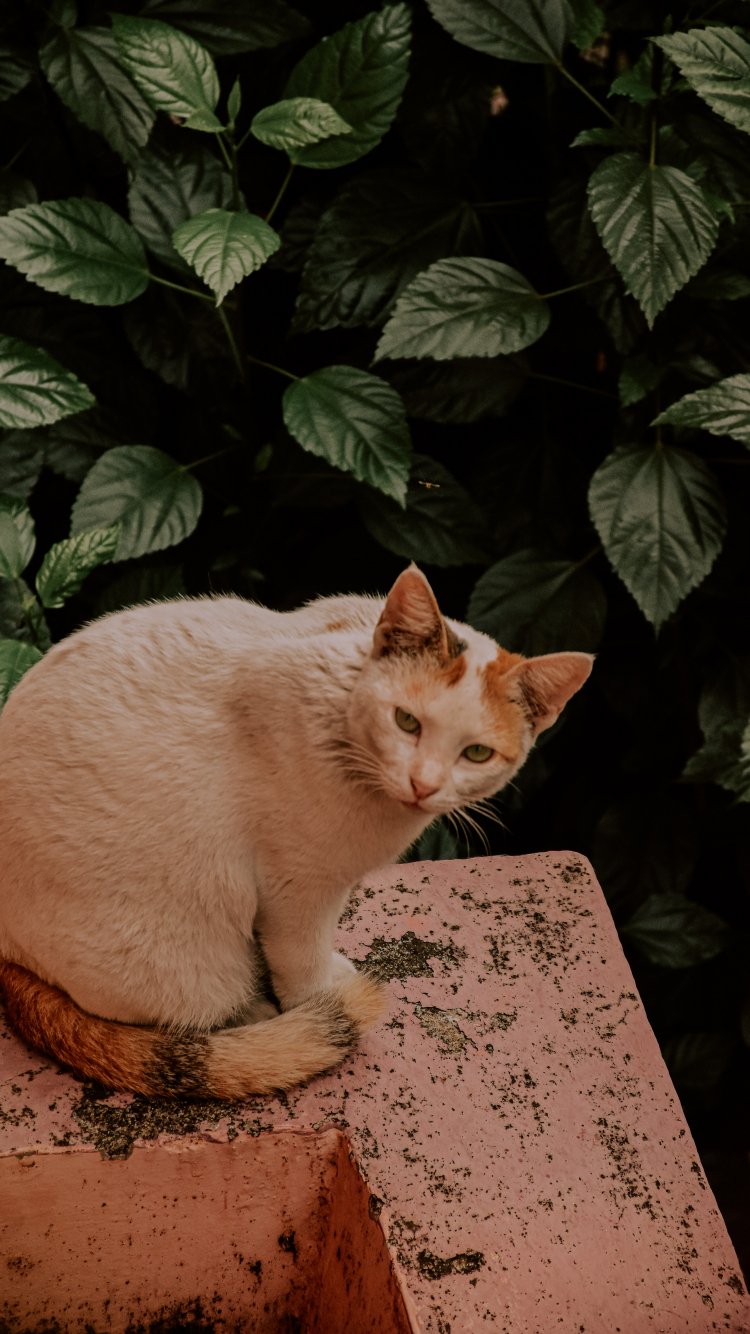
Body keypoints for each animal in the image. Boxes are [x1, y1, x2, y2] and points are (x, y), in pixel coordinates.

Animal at [0, 564, 592, 1100]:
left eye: (477, 753)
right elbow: (300, 956)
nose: (422, 784)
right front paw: (317, 997)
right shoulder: (297, 887)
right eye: (406, 721)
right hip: (188, 961)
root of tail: (7, 952)